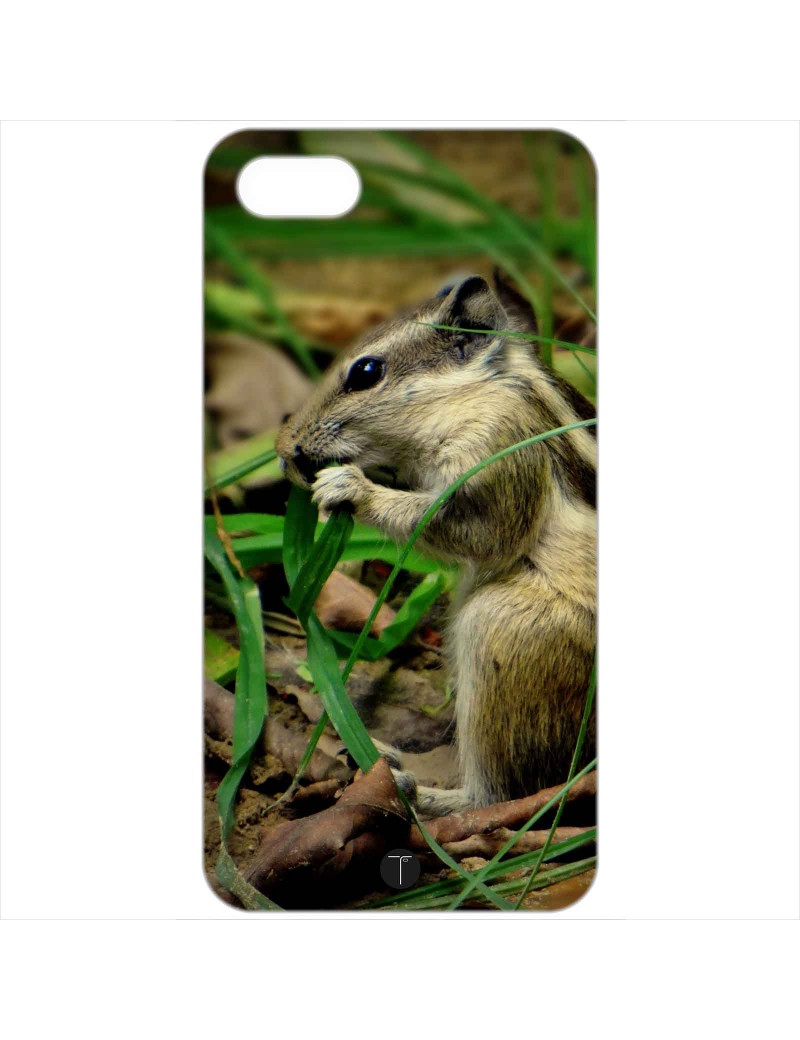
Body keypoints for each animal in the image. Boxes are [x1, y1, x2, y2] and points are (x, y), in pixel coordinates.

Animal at [276, 273, 596, 816]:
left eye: (366, 372)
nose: (285, 453)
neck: (478, 389)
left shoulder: (497, 450)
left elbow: (475, 533)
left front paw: (348, 489)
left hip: (501, 630)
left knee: (496, 796)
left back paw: (413, 788)